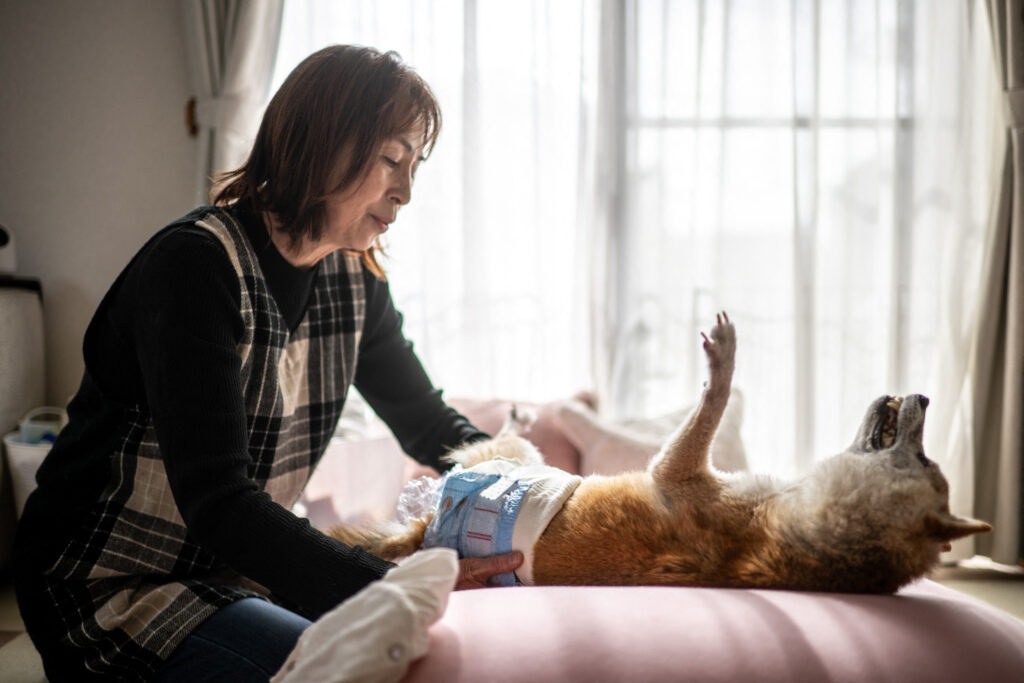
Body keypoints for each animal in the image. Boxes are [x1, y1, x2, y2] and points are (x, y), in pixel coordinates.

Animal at [323, 313, 987, 593]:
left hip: (503, 460)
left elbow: (710, 408)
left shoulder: (676, 468)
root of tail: (422, 533)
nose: (923, 397)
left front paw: (722, 368)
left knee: (493, 440)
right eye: (928, 459)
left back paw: (515, 414)